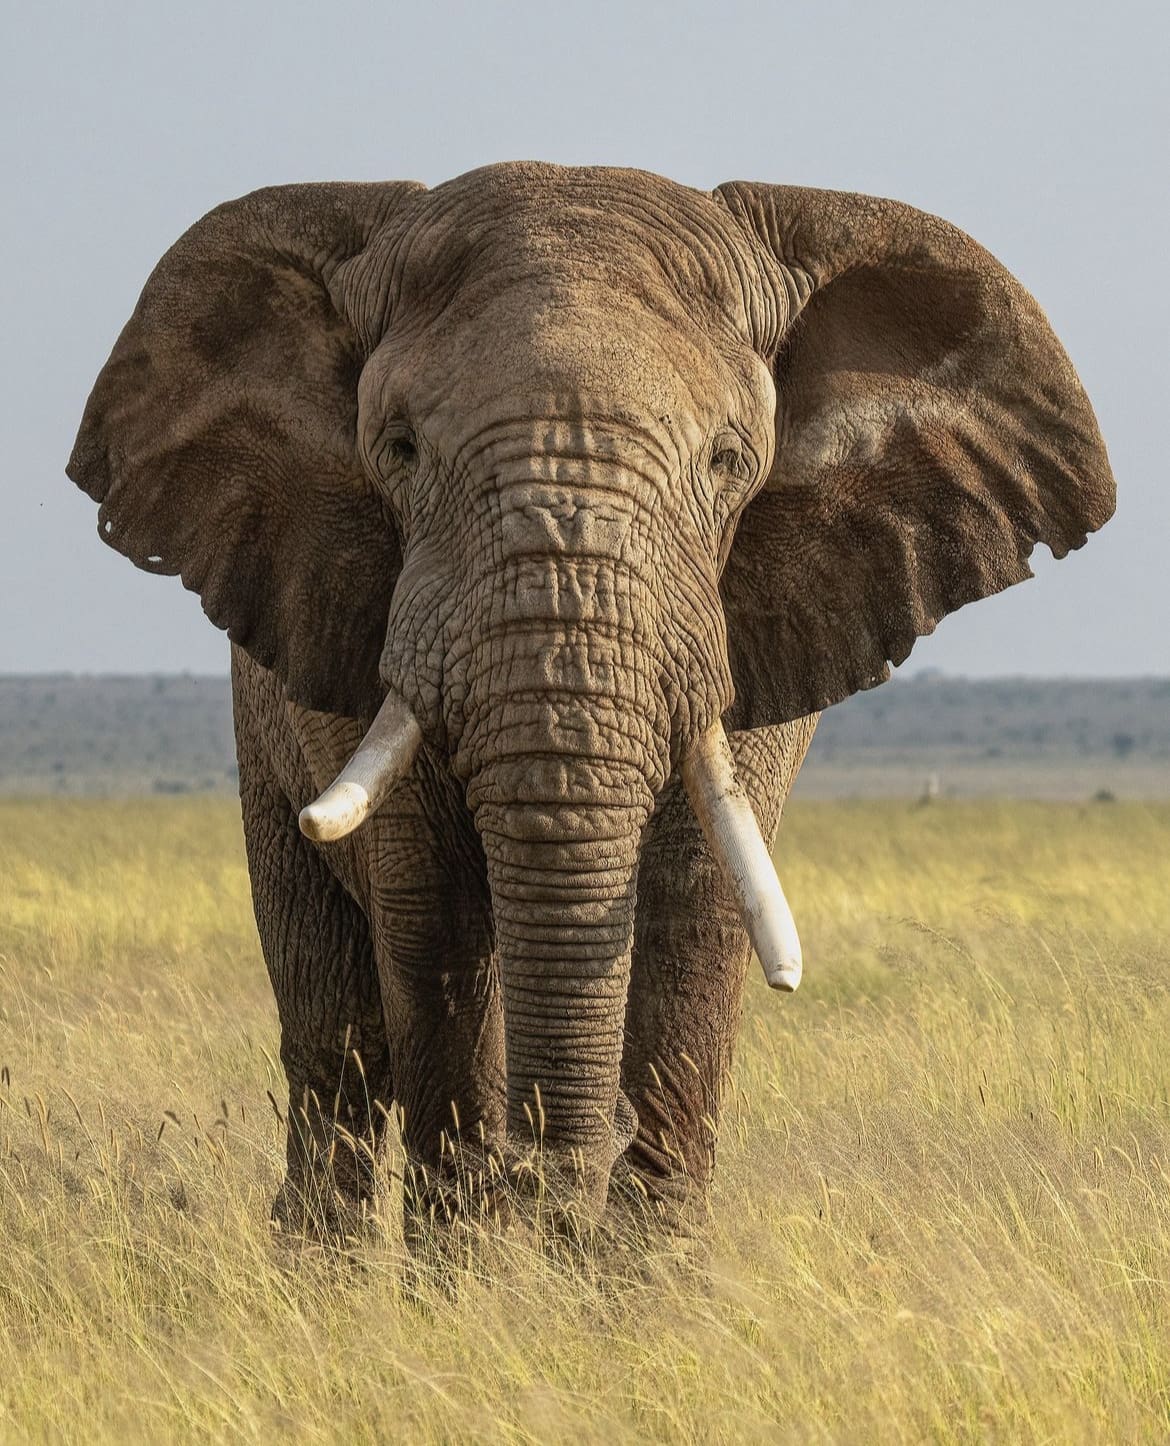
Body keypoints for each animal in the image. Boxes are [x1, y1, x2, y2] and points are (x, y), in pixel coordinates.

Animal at [67, 163, 1114, 1240]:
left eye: (727, 461)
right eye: (399, 449)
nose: (562, 1161)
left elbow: (699, 910)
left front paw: (629, 1269)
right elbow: (435, 917)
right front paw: (479, 1260)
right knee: (334, 1041)